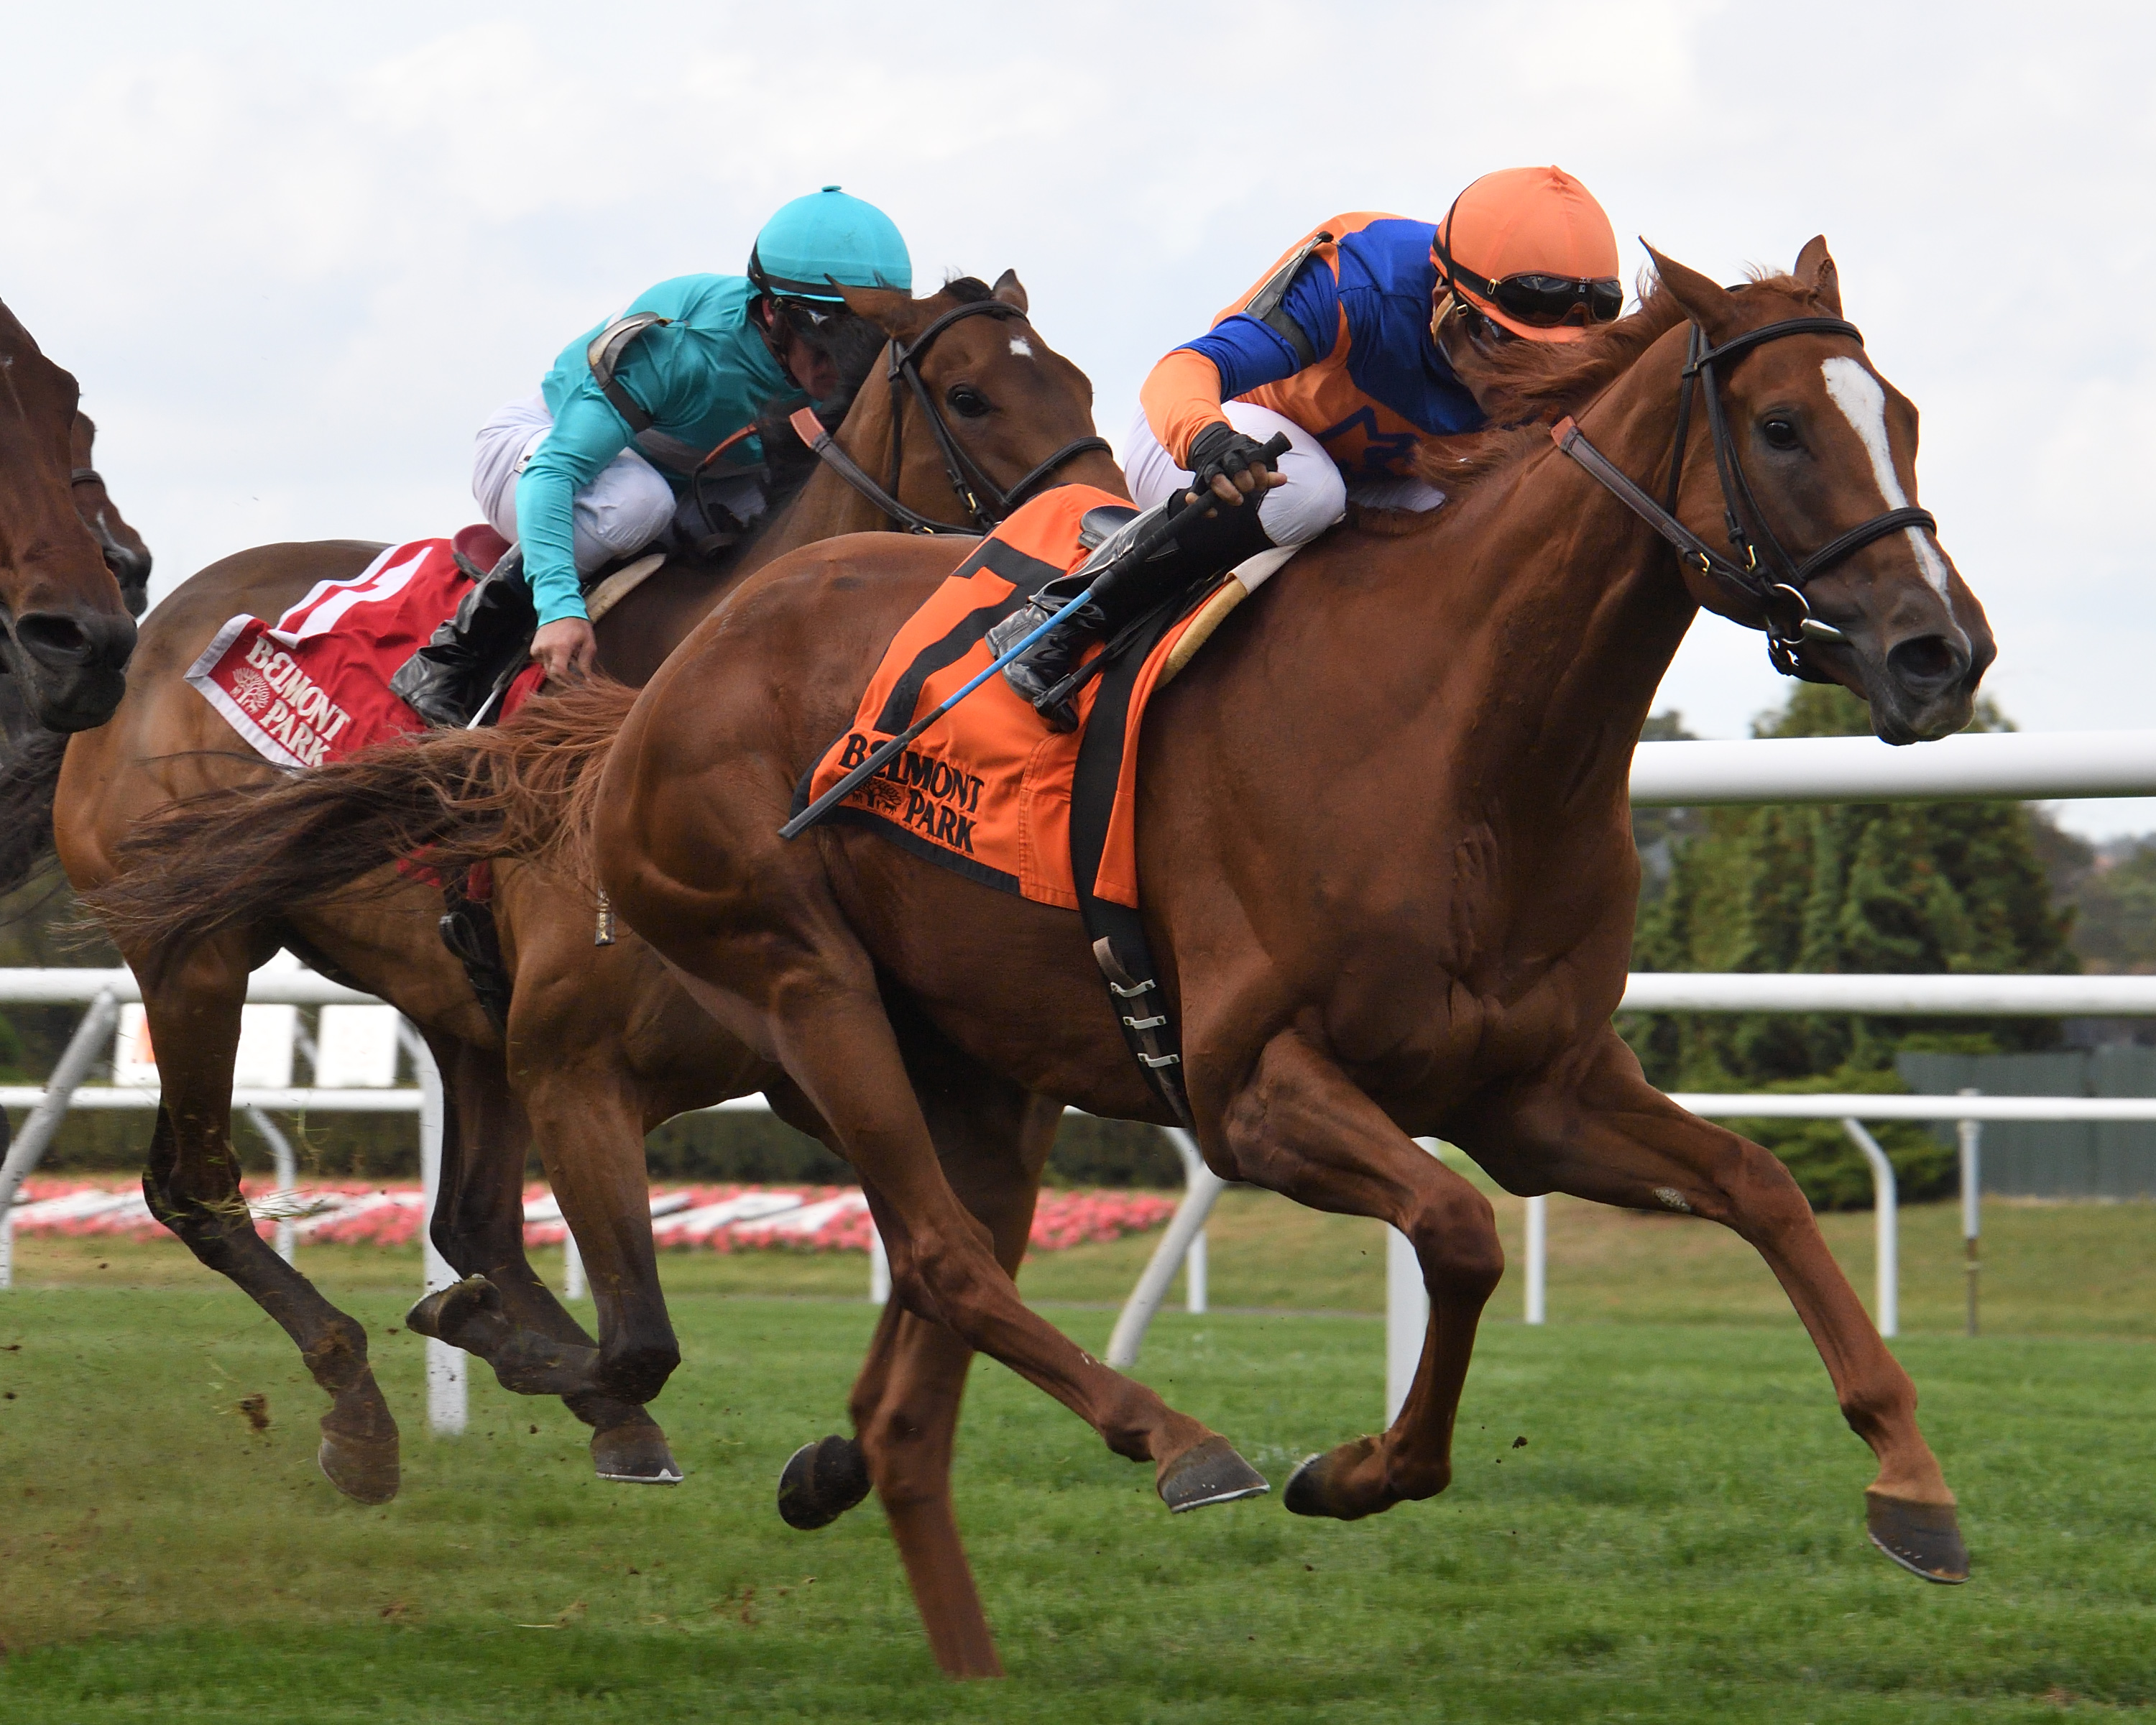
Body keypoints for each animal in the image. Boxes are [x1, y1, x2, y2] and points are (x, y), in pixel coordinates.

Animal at [59, 280, 1121, 1552]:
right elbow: (651, 1335)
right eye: (971, 395)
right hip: (200, 952)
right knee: (194, 1185)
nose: (1110, 528)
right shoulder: (586, 1055)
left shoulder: (792, 1053)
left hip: (465, 1014)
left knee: (472, 1222)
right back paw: (360, 1403)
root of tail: (152, 633)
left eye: (1080, 382)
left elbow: (940, 1253)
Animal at [573, 236, 1984, 1647]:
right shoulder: (1251, 1091)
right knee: (937, 1252)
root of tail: (677, 669)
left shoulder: (1539, 1095)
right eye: (1783, 427)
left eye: (1908, 420)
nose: (1942, 653)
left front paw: (1913, 1484)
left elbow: (1761, 1184)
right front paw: (1361, 1469)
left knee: (931, 1308)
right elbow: (1459, 1231)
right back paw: (1174, 1439)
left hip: (974, 1063)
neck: (1463, 745)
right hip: (804, 980)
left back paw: (851, 1467)